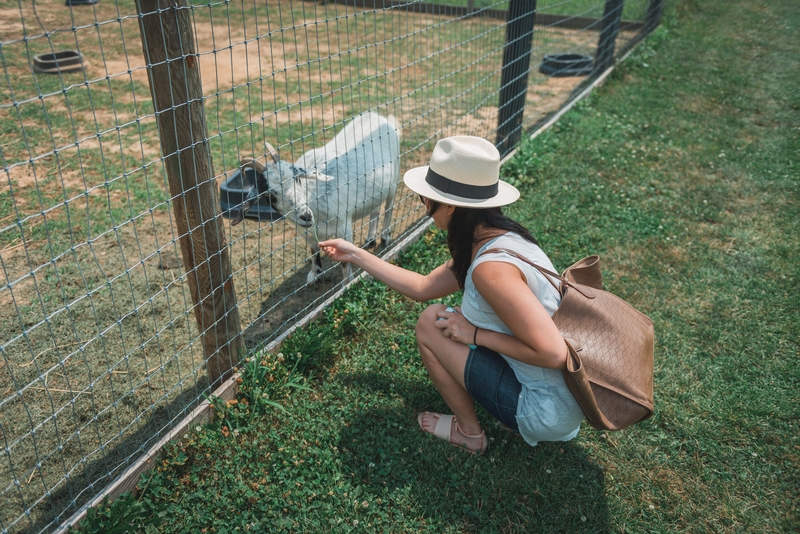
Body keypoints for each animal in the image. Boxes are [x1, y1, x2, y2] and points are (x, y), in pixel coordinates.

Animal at [236, 112, 400, 284]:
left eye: (297, 179)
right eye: (268, 193)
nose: (306, 216)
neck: (314, 195)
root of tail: (379, 117)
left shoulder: (344, 227)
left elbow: (345, 261)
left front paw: (347, 283)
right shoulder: (306, 232)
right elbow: (313, 252)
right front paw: (314, 274)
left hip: (394, 179)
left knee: (388, 208)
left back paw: (385, 237)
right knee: (375, 209)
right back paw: (370, 239)